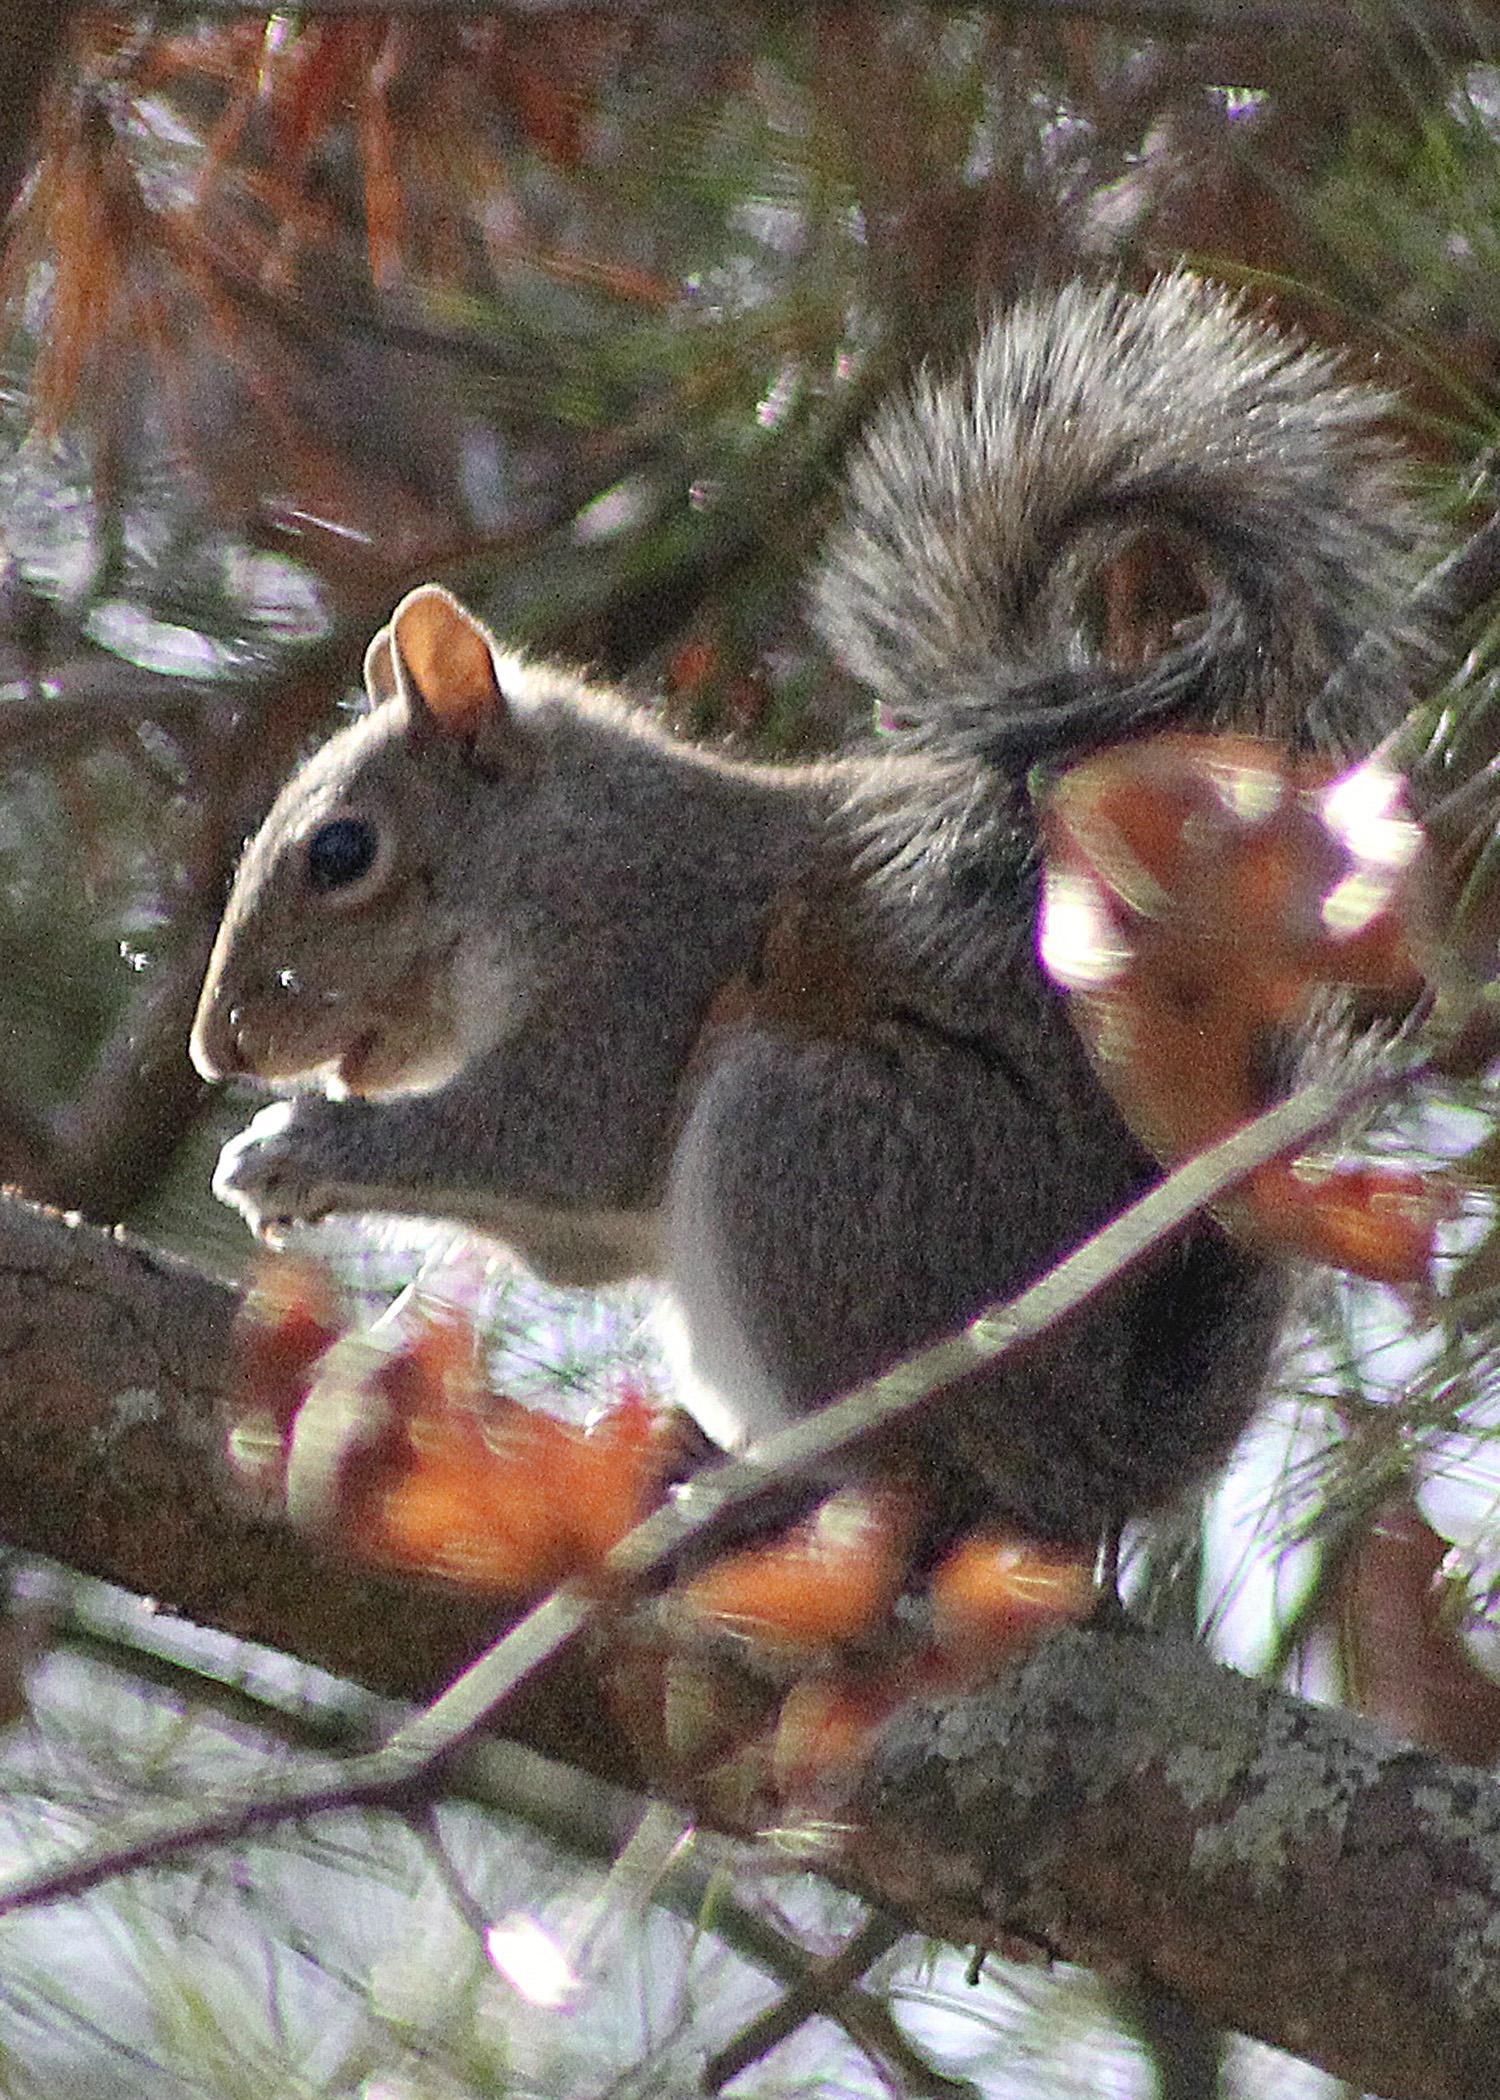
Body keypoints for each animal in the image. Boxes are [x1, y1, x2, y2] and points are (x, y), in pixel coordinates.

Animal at [190, 275, 1428, 1562]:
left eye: (341, 851)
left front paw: (295, 1148)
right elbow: (577, 1229)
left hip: (811, 1148)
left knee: (905, 1471)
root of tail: (1093, 1463)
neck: (548, 849)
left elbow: (562, 1130)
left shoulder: (641, 955)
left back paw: (775, 1485)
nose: (217, 1047)